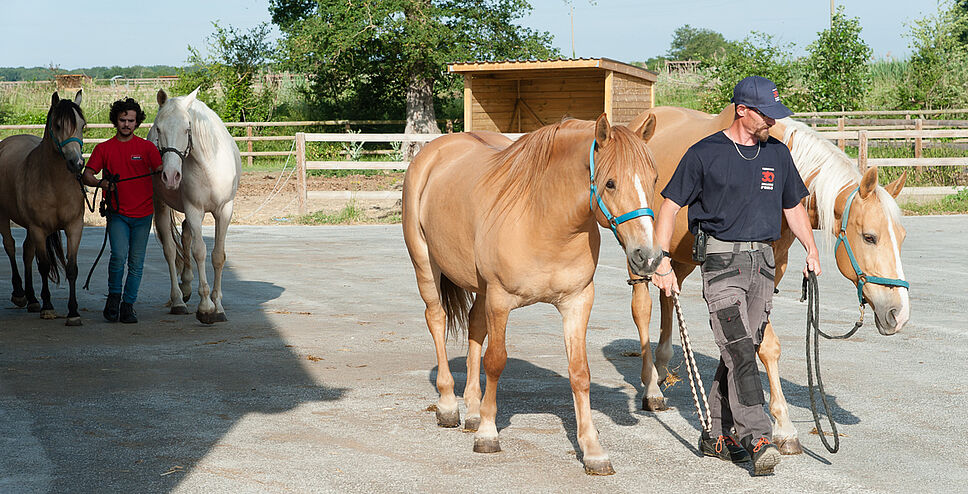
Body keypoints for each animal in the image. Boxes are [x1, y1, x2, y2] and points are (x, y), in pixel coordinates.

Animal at [0, 90, 87, 326]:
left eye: (82, 125)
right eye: (57, 125)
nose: (77, 164)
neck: (56, 185)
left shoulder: (74, 227)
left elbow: (72, 268)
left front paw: (73, 312)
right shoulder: (39, 229)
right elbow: (44, 266)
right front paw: (48, 307)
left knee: (27, 253)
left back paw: (31, 299)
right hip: (4, 217)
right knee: (11, 247)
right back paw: (20, 294)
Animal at [149, 89, 244, 324]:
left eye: (187, 128)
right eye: (159, 129)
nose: (170, 175)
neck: (207, 165)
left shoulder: (225, 211)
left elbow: (218, 256)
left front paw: (218, 306)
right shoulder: (194, 209)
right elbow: (200, 251)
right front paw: (206, 307)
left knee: (185, 235)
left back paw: (186, 285)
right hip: (161, 205)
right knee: (170, 250)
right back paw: (178, 300)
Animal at [402, 116, 664, 474]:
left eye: (654, 179)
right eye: (610, 183)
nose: (648, 257)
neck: (544, 219)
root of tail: (434, 151)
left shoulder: (577, 301)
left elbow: (579, 372)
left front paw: (593, 450)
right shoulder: (500, 299)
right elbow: (496, 362)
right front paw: (488, 434)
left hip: (481, 289)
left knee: (474, 328)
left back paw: (472, 410)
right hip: (427, 266)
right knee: (437, 320)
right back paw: (448, 406)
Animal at [624, 105, 912, 456]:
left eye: (902, 236)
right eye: (870, 237)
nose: (898, 314)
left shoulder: (771, 273)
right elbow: (765, 347)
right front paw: (784, 428)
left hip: (675, 259)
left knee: (668, 298)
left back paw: (663, 367)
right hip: (640, 253)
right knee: (643, 307)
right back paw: (652, 388)